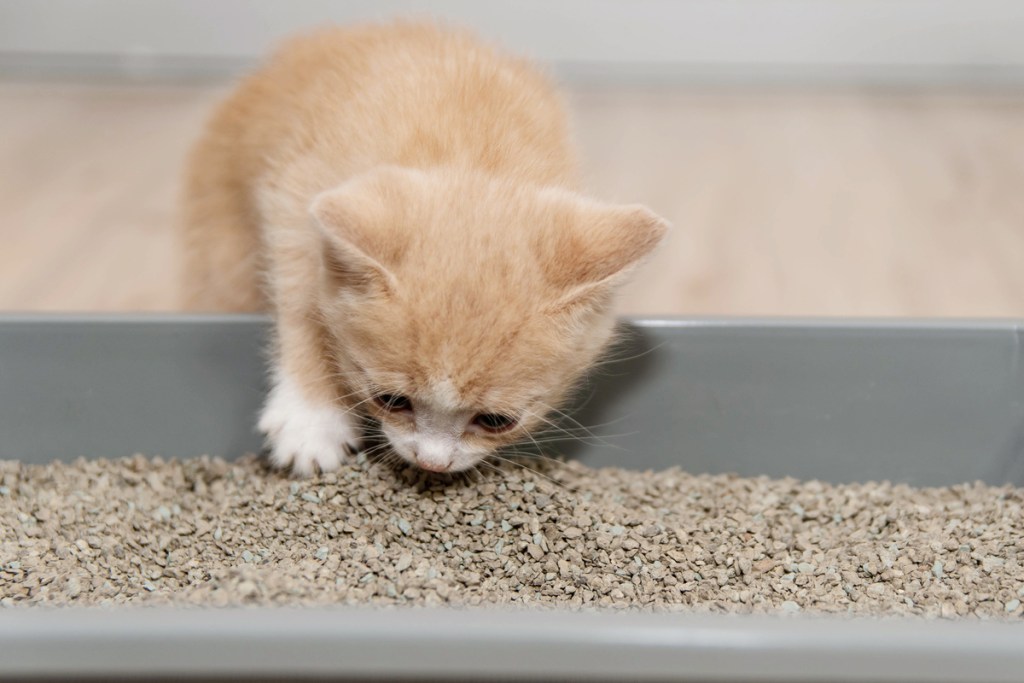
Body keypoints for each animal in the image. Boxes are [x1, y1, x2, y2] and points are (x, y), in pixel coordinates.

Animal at [181, 24, 667, 479]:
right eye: (390, 400)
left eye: (496, 421)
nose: (432, 462)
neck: (468, 153)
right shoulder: (293, 196)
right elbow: (303, 301)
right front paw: (311, 421)